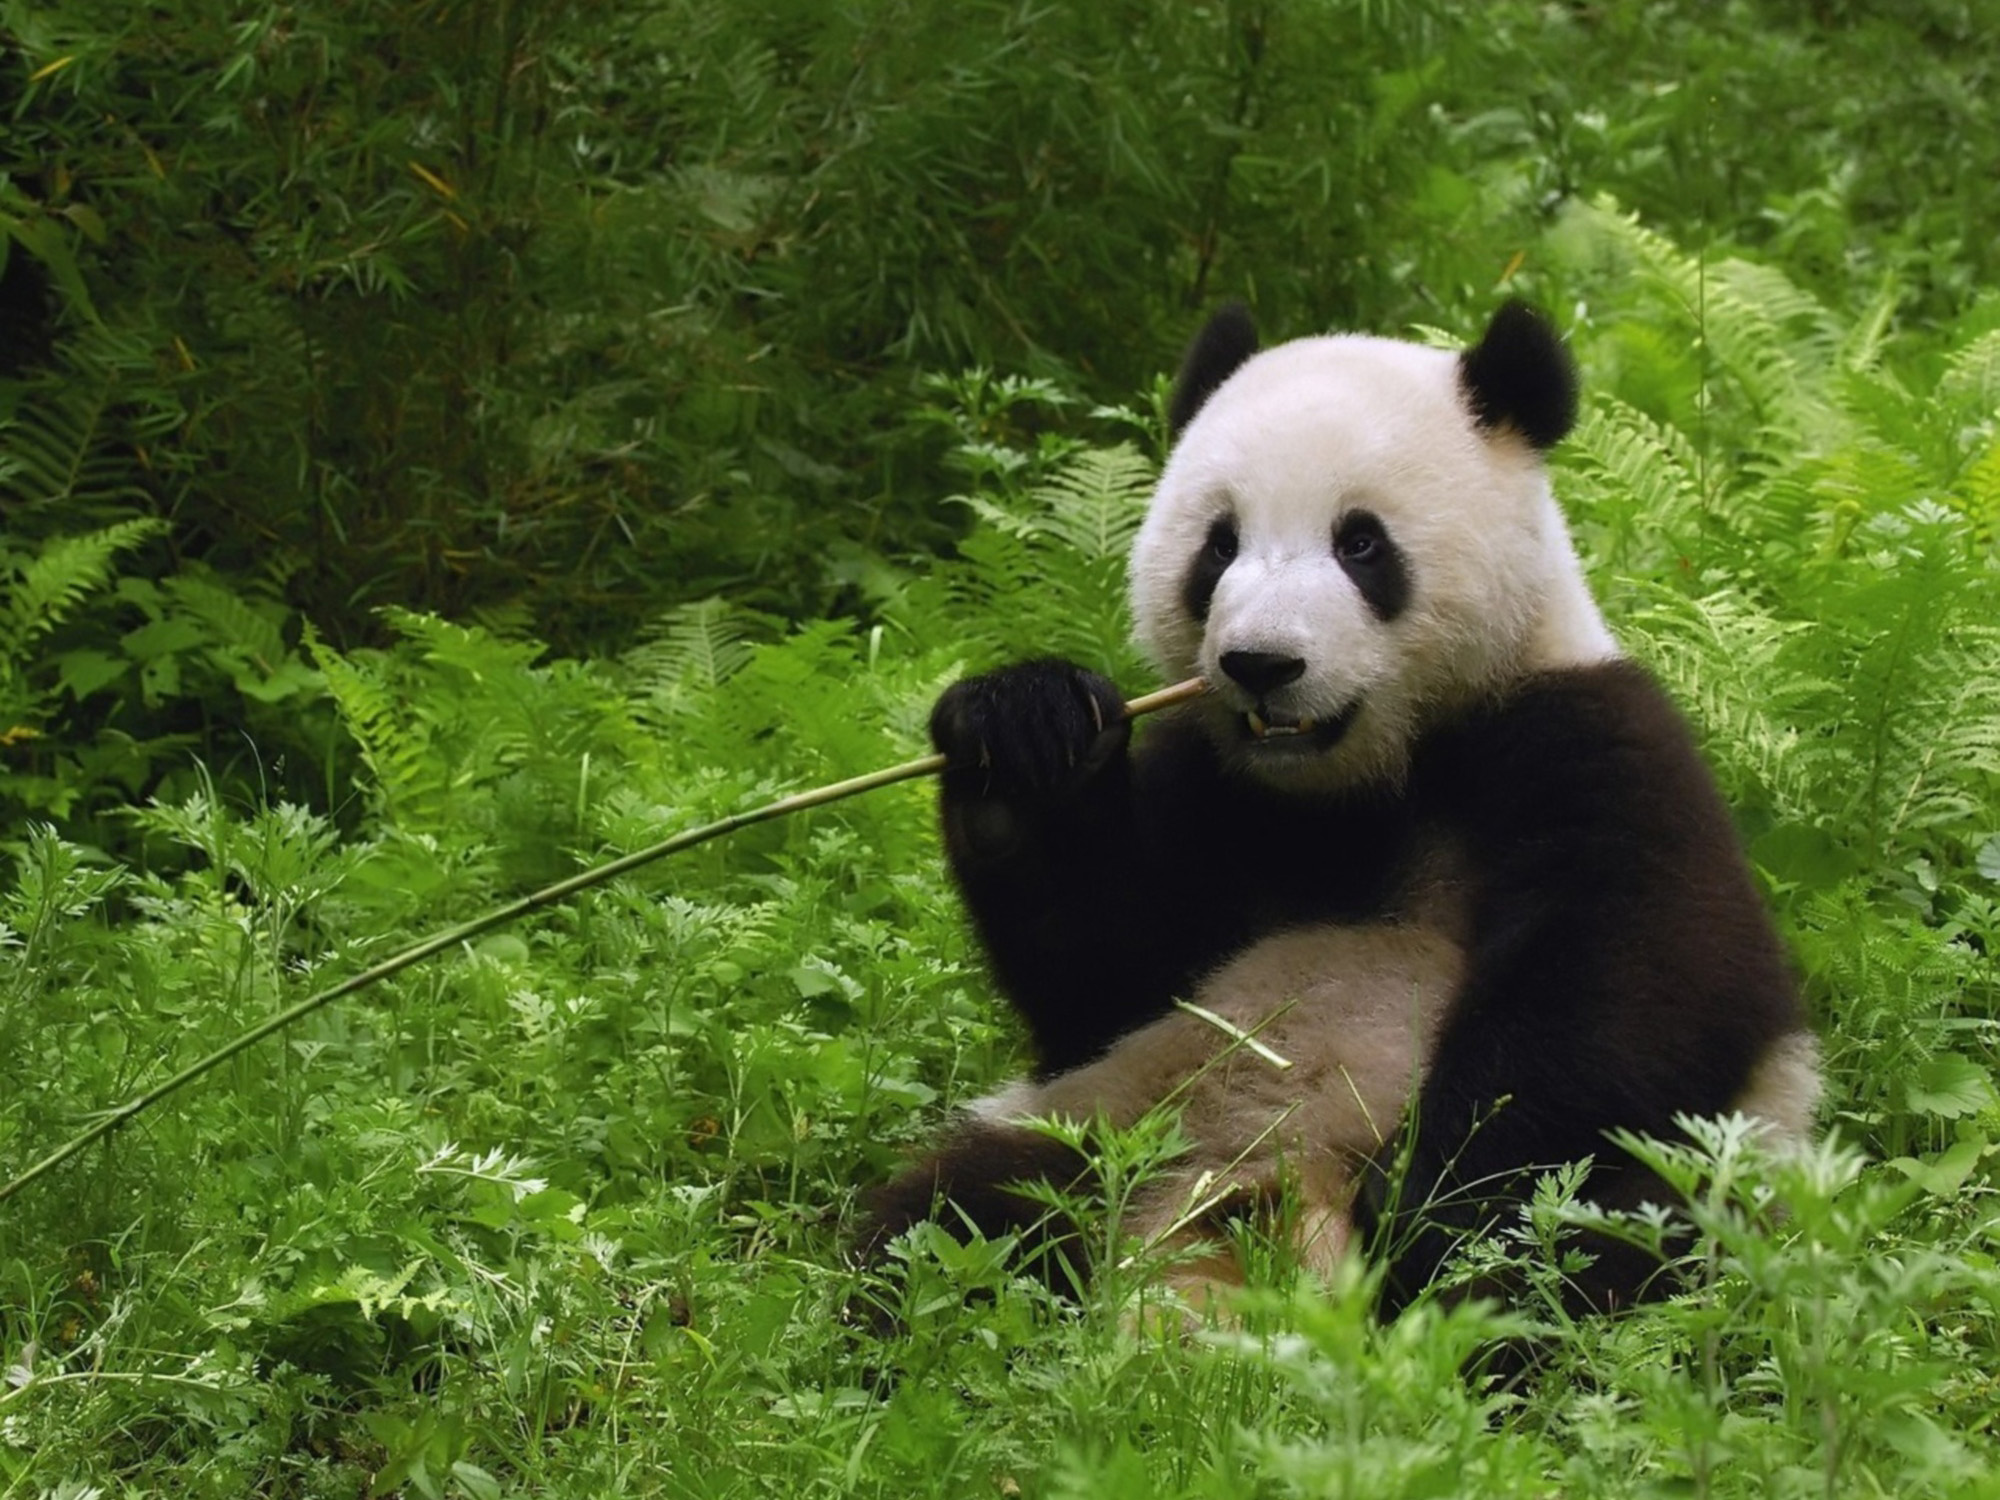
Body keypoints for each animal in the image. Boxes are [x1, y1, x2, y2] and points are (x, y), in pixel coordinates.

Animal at [852, 302, 1824, 1328]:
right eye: (1218, 546)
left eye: (1361, 545)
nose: (1261, 664)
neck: (1359, 781)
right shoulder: (1212, 788)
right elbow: (1105, 976)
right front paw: (1023, 735)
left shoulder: (1589, 741)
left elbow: (1637, 988)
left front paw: (1424, 1203)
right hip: (1114, 1119)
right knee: (955, 1219)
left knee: (1583, 1251)